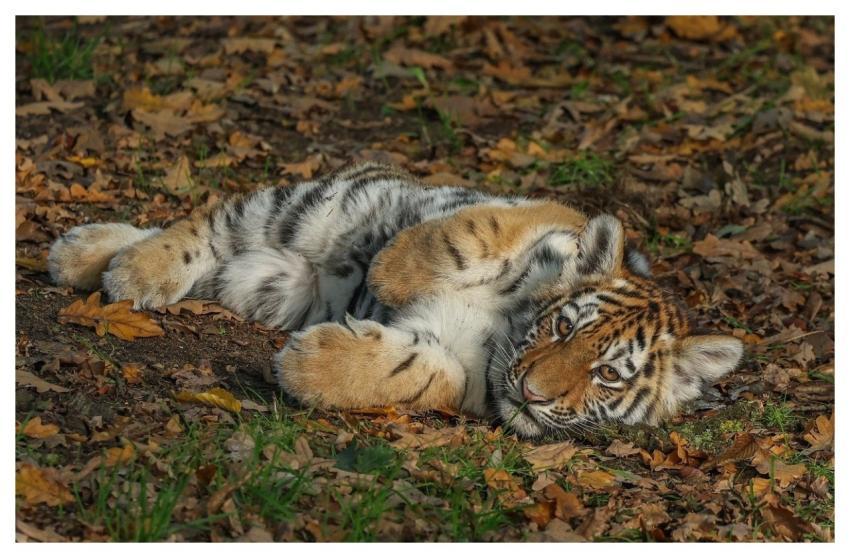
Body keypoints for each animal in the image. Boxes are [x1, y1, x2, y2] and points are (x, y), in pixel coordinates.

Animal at [48, 160, 743, 439]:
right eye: (564, 329)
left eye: (606, 376)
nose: (533, 392)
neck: (506, 331)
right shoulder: (543, 214)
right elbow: (462, 235)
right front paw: (389, 271)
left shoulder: (463, 376)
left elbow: (414, 374)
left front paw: (306, 364)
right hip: (311, 207)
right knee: (203, 225)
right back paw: (118, 264)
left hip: (265, 278)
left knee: (220, 251)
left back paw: (92, 259)